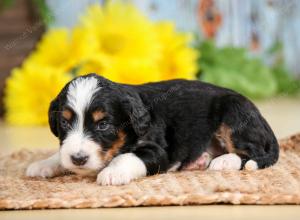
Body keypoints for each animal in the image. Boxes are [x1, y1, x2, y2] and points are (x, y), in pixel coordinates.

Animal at [25, 74, 278, 186]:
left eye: (103, 125)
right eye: (65, 123)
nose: (78, 159)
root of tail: (260, 116)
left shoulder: (157, 150)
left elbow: (127, 157)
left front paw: (112, 173)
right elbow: (60, 153)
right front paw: (43, 164)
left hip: (233, 115)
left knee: (252, 153)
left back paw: (223, 162)